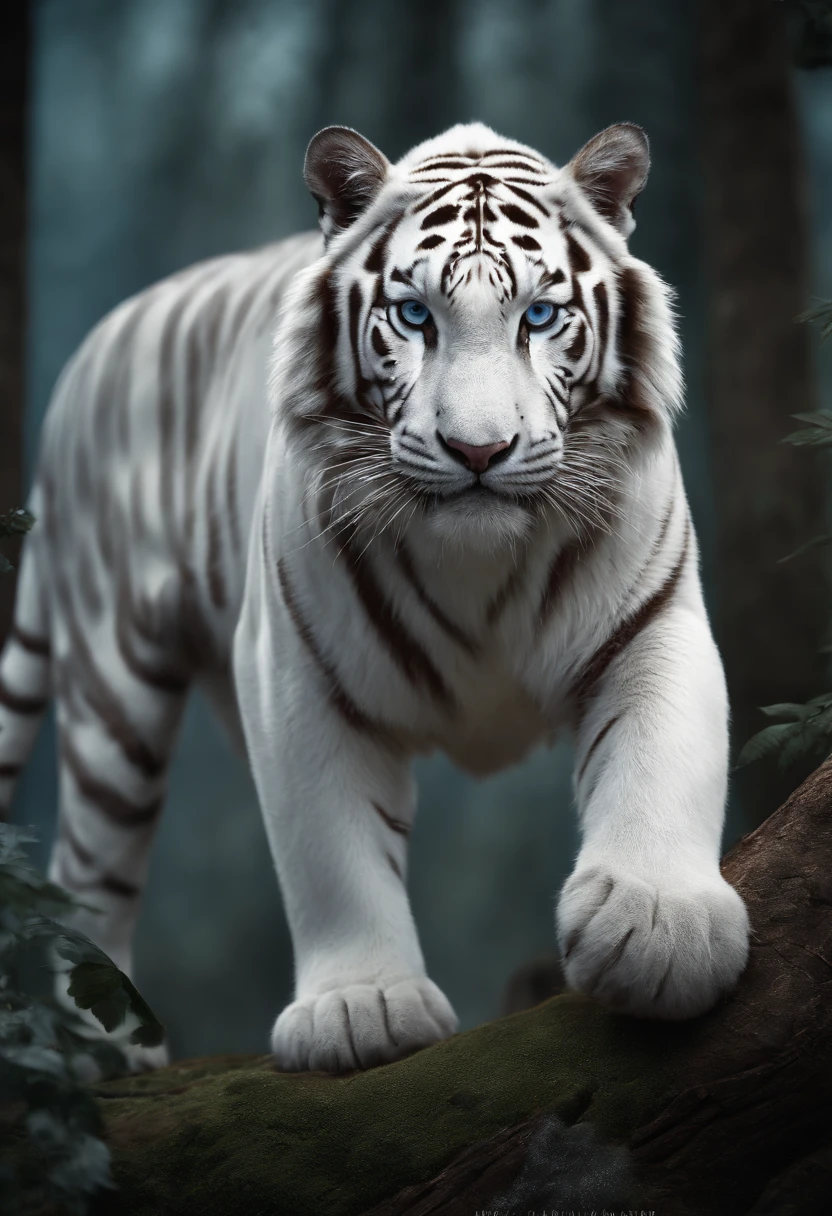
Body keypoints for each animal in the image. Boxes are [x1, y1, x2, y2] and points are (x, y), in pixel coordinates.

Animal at [0, 120, 750, 1073]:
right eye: (414, 315)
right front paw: (362, 1008)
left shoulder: (652, 619)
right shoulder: (293, 670)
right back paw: (106, 1054)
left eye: (540, 316)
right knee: (86, 879)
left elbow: (661, 758)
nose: (479, 450)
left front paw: (659, 931)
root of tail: (84, 364)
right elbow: (331, 851)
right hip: (113, 696)